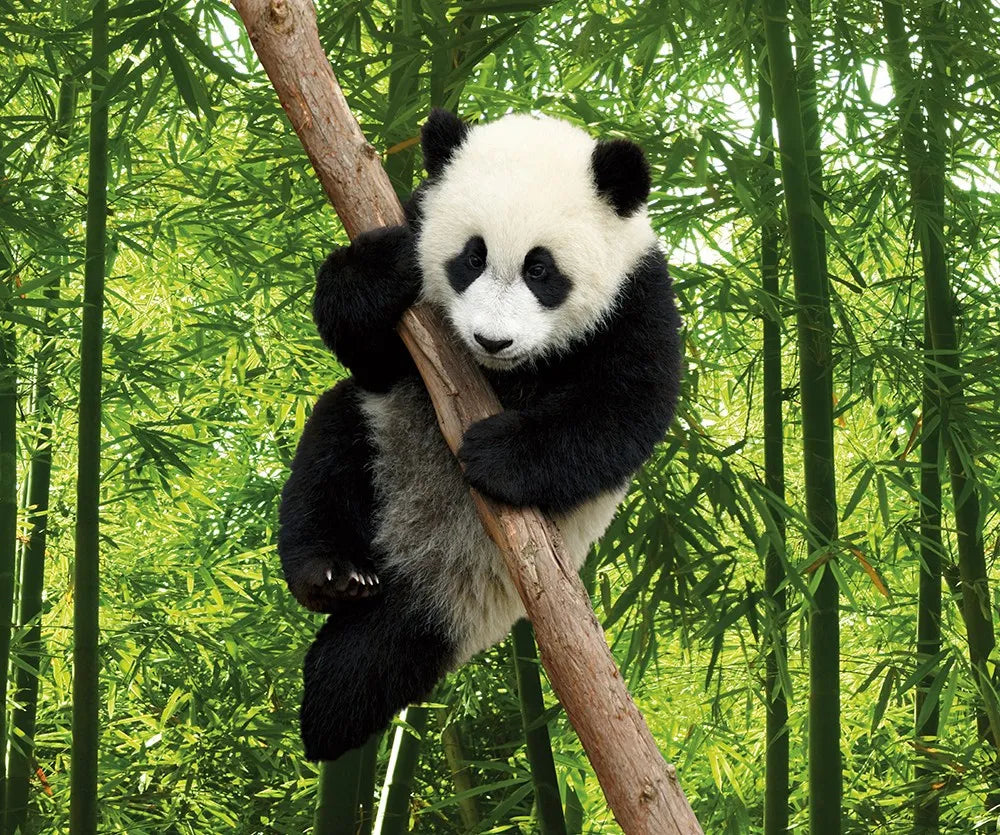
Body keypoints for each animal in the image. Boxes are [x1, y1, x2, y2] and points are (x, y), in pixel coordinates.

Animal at [278, 109, 682, 761]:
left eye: (541, 270)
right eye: (471, 258)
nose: (493, 340)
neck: (506, 374)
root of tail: (419, 565)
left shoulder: (636, 296)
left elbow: (625, 406)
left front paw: (497, 454)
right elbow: (365, 347)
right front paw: (378, 270)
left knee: (389, 647)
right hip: (382, 434)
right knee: (328, 461)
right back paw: (331, 576)